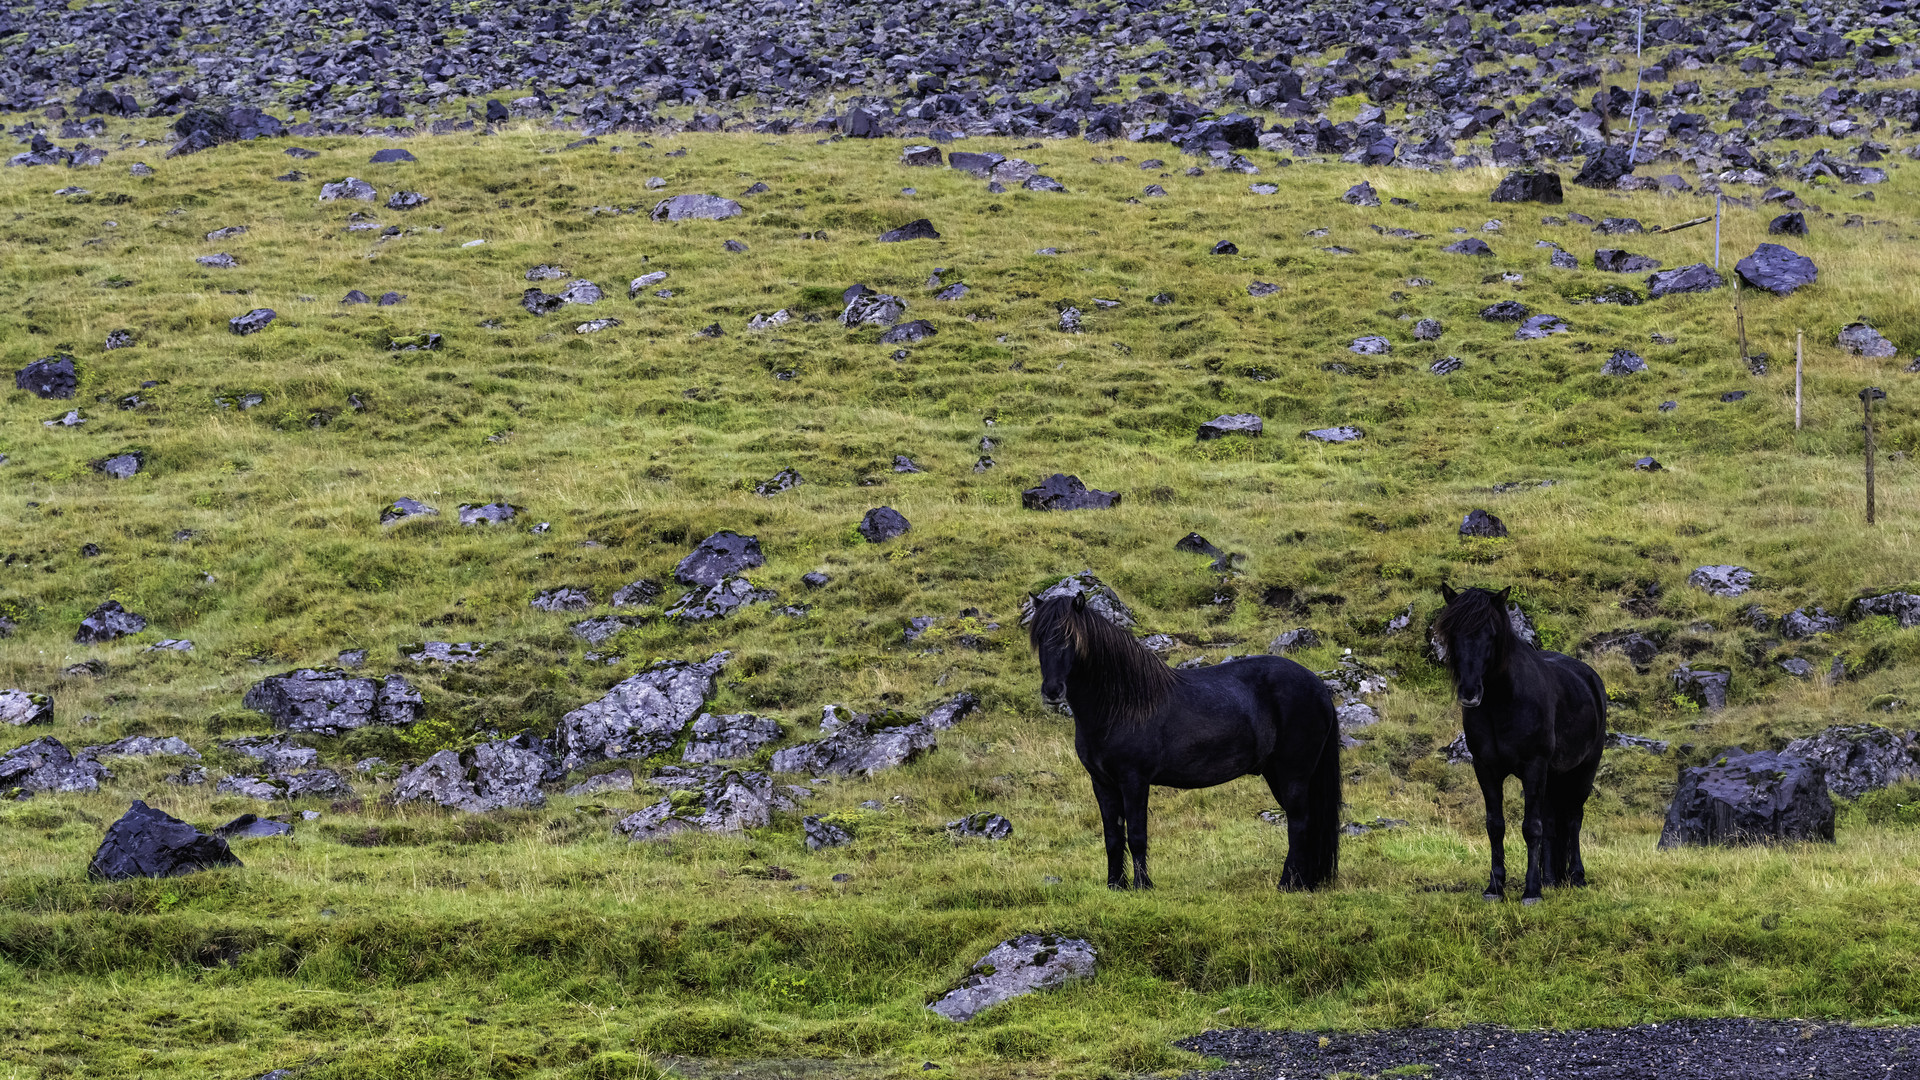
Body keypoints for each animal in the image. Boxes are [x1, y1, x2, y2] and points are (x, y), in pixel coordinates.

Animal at [1036, 591, 1336, 887]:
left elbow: (1137, 836)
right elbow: (1113, 838)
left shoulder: (1134, 781)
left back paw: (1288, 883)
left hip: (1293, 774)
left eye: (1069, 638)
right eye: (1038, 638)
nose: (1052, 690)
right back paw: (1304, 882)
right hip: (1276, 773)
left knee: (1299, 822)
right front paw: (1115, 885)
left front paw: (1142, 886)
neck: (1121, 705)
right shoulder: (1102, 783)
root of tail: (1317, 685)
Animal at [1436, 580, 1612, 899]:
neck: (1504, 702)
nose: (1470, 692)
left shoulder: (1534, 767)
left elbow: (1531, 827)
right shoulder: (1486, 768)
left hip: (1583, 771)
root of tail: (1592, 678)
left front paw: (1531, 892)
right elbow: (1496, 825)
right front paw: (1495, 886)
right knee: (1553, 822)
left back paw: (1576, 876)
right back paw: (1552, 879)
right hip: (1552, 777)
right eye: (1452, 633)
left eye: (1491, 634)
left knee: (1573, 819)